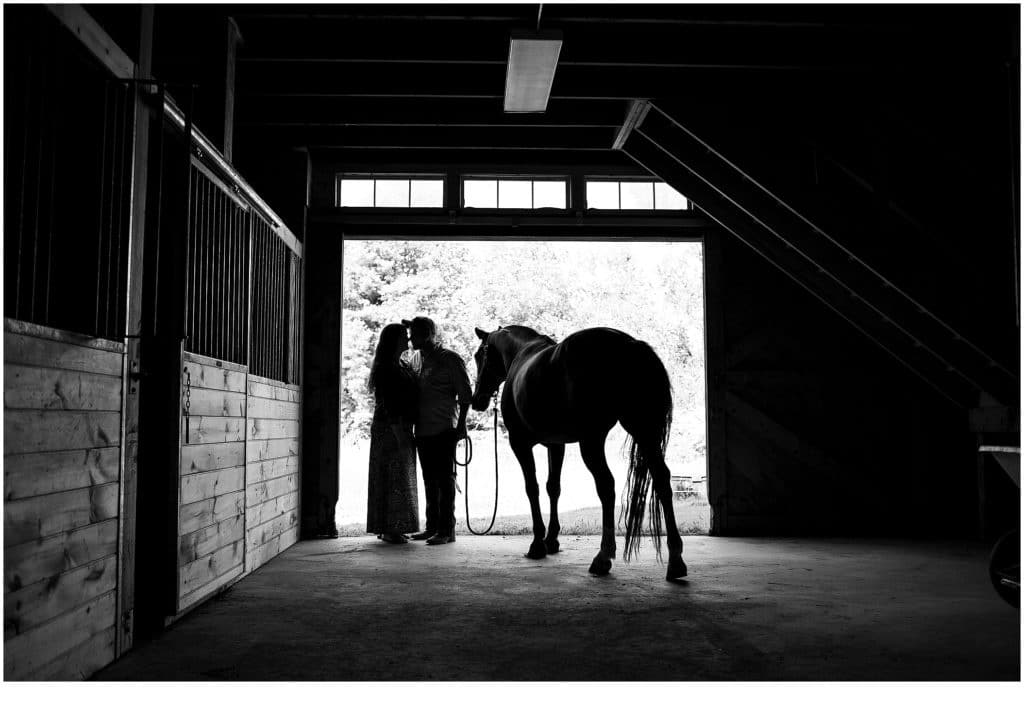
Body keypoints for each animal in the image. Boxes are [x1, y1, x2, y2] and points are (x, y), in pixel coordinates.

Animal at [473, 323, 688, 581]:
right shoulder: (556, 445)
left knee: (606, 486)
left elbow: (532, 488)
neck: (521, 353)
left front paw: (537, 543)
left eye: (478, 356)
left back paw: (603, 557)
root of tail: (629, 345)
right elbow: (553, 487)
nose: (476, 400)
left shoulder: (520, 444)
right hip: (643, 432)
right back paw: (675, 560)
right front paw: (551, 540)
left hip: (592, 441)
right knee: (662, 480)